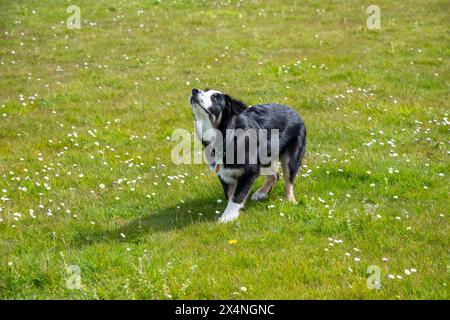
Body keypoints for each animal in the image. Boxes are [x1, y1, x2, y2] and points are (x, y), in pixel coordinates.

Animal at [190, 87, 306, 222]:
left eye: (215, 97)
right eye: (205, 90)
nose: (194, 90)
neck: (225, 135)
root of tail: (294, 112)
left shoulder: (250, 171)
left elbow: (237, 196)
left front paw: (226, 218)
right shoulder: (223, 172)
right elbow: (229, 194)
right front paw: (235, 213)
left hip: (291, 157)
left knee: (288, 180)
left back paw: (290, 200)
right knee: (275, 176)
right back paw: (261, 193)